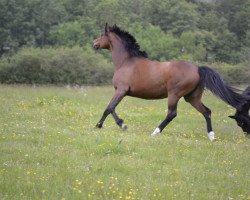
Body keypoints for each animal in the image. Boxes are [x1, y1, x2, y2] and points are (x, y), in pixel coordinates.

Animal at [93, 23, 245, 141]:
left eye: (101, 34)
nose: (94, 44)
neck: (126, 62)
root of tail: (197, 68)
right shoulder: (121, 91)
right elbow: (111, 108)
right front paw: (119, 124)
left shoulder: (121, 90)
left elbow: (109, 108)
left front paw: (103, 125)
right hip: (192, 97)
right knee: (206, 111)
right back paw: (211, 136)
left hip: (174, 94)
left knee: (172, 114)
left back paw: (155, 132)